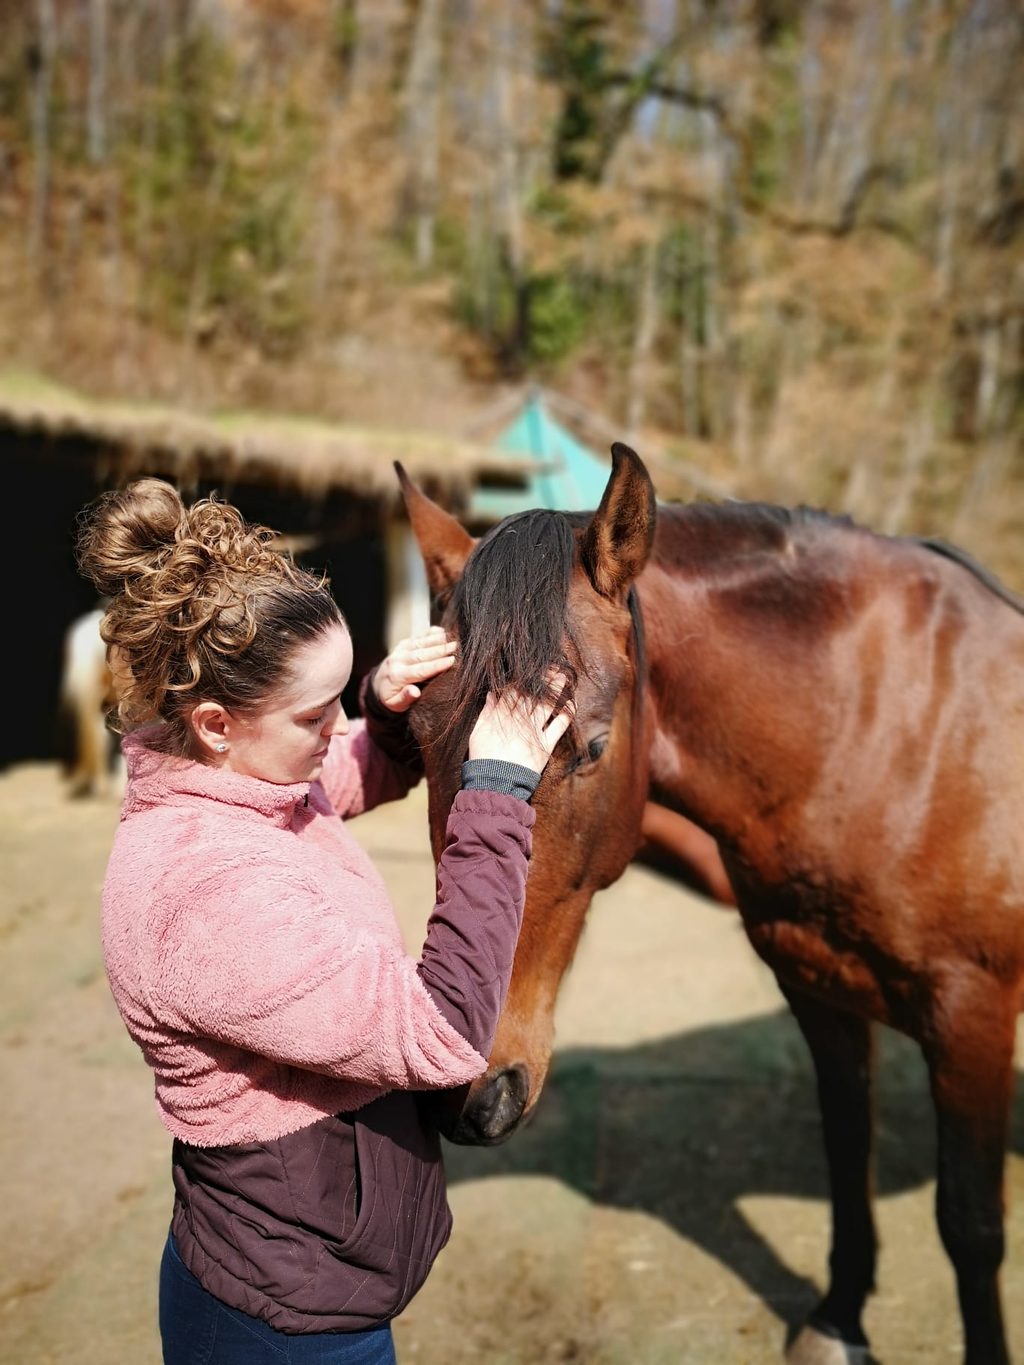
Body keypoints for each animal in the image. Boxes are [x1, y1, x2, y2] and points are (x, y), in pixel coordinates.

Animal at [396, 446, 1024, 1365]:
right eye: (415, 735)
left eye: (587, 745)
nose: (466, 1091)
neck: (887, 733)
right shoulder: (819, 986)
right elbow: (848, 1150)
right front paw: (839, 1321)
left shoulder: (972, 1018)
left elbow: (971, 1225)